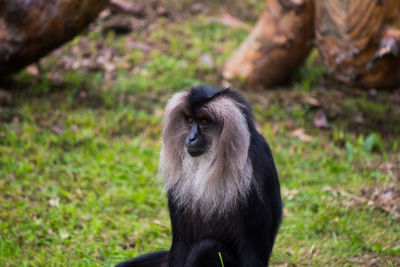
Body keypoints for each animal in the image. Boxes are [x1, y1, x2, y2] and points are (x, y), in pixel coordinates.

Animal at [117, 86, 282, 267]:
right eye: (189, 120)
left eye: (204, 121)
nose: (190, 138)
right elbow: (181, 243)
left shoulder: (258, 168)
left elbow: (252, 252)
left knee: (207, 247)